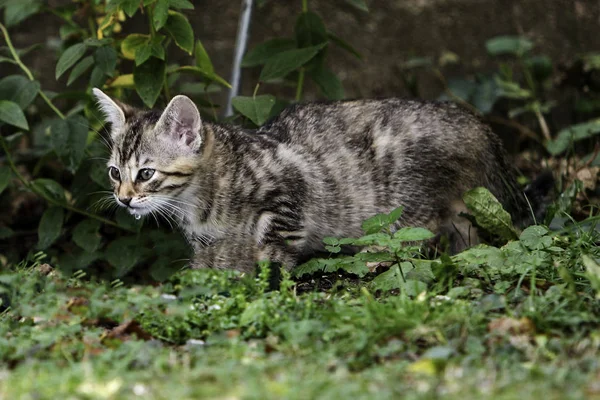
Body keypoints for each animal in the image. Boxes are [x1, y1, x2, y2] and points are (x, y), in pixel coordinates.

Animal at [94, 88, 544, 272]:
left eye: (146, 174)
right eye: (115, 172)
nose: (124, 199)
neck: (201, 200)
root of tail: (476, 124)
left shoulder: (290, 194)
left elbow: (273, 250)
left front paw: (267, 279)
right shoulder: (209, 240)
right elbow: (215, 262)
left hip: (408, 193)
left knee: (420, 233)